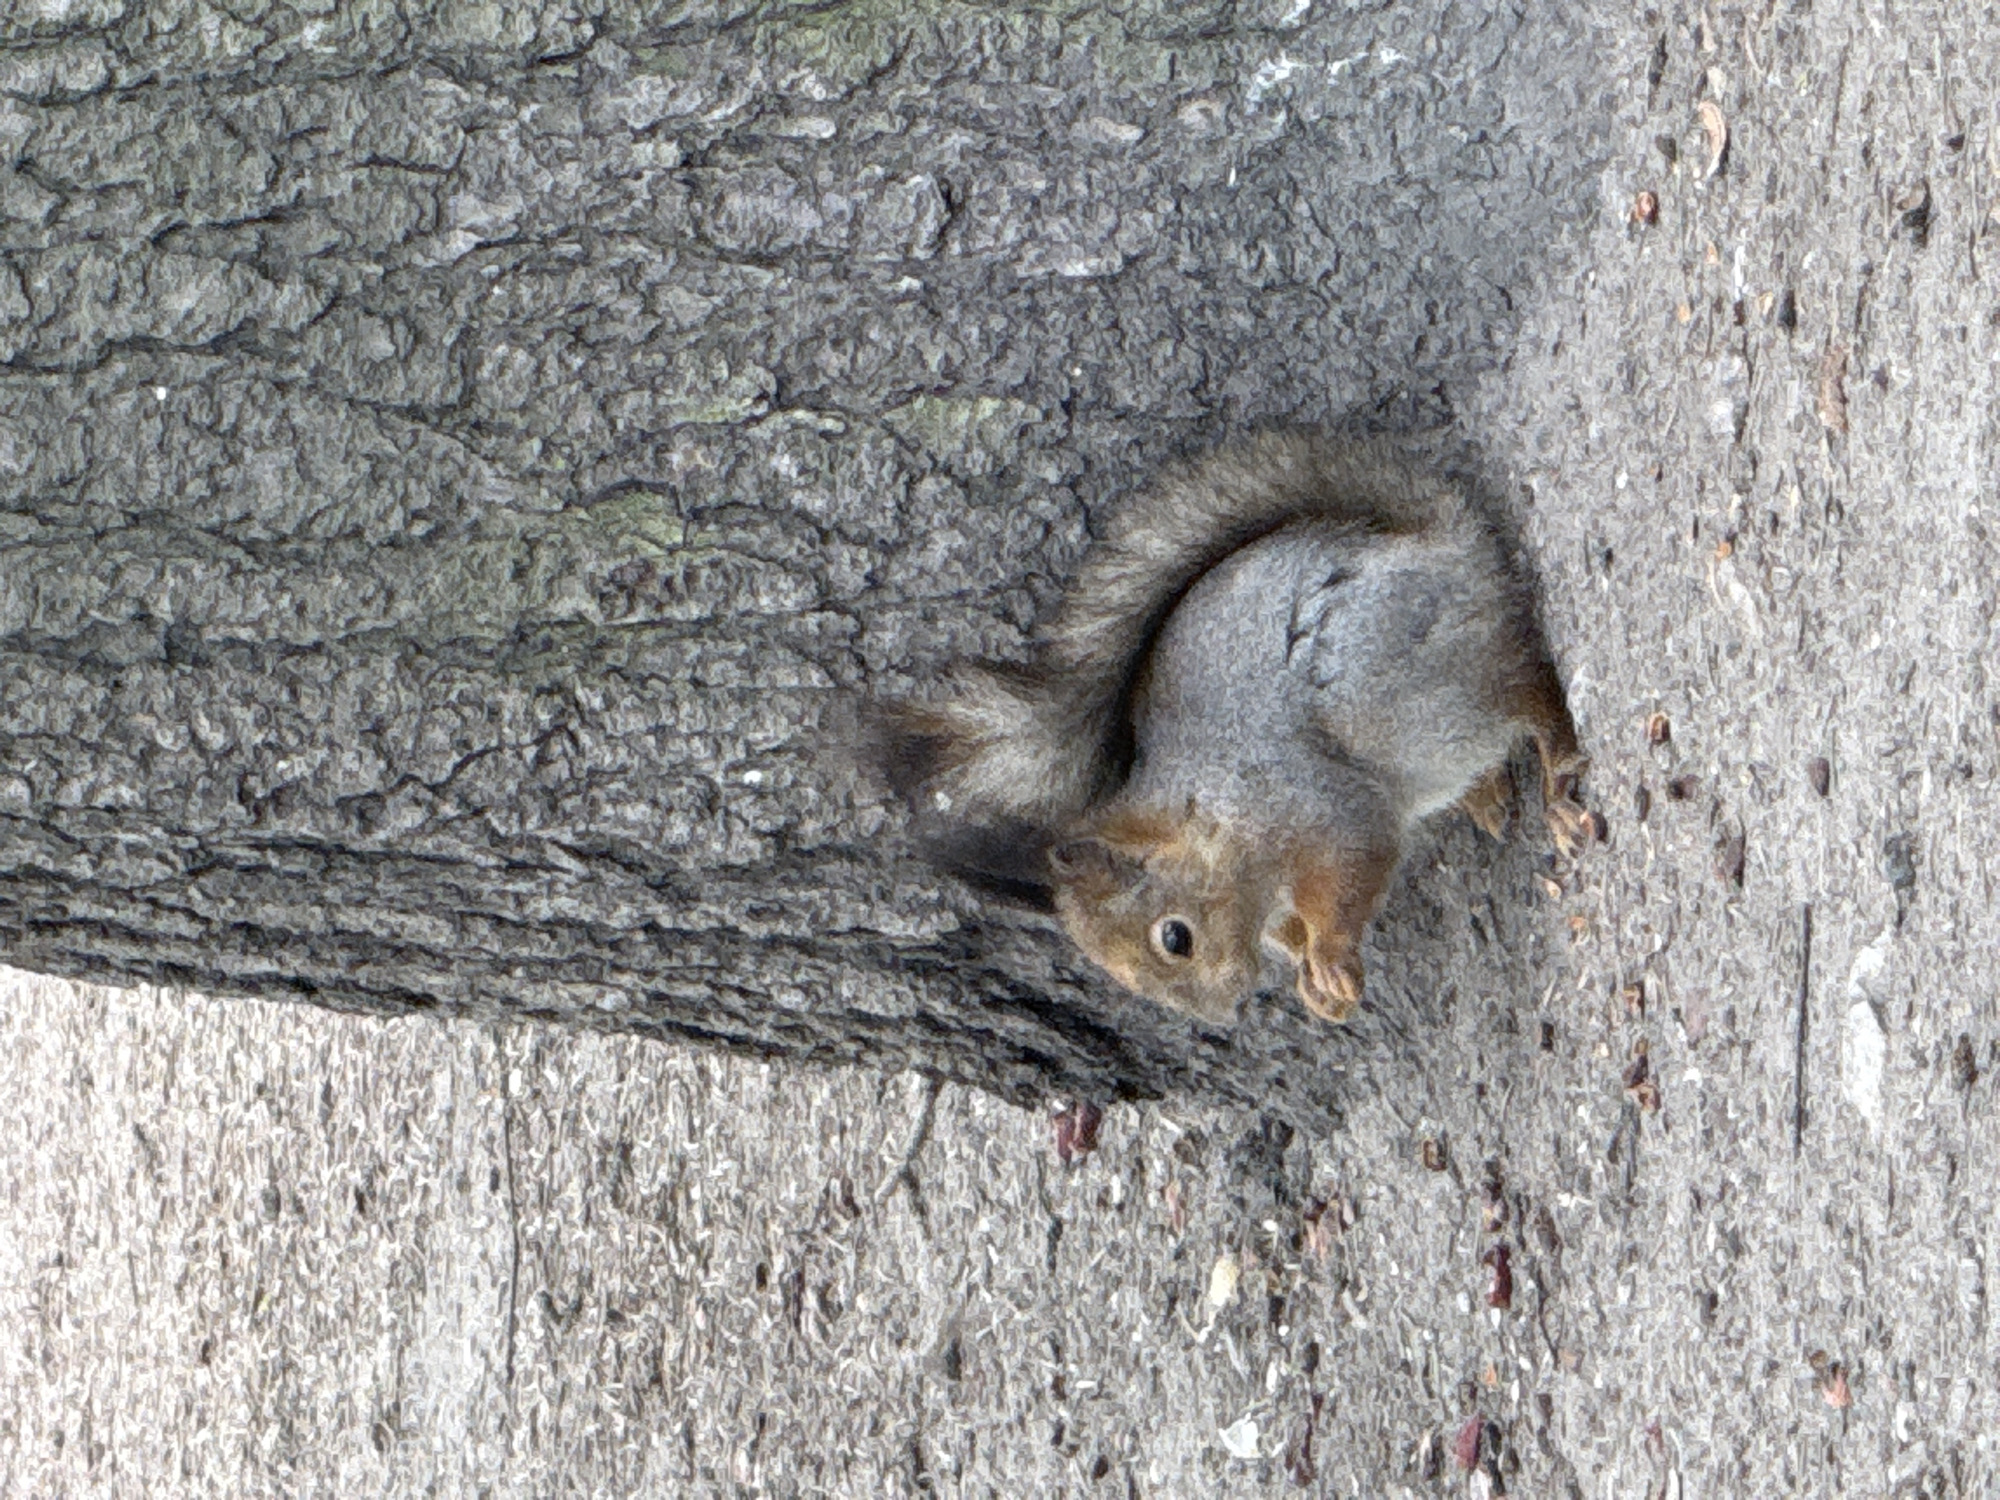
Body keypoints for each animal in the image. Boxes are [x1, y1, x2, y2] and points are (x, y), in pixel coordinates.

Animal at [886, 430, 1590, 1026]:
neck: (1213, 812)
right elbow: (1300, 924)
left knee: (1529, 689)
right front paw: (1314, 978)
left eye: (1175, 938)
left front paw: (1331, 959)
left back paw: (1559, 775)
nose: (1229, 1012)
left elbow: (1355, 860)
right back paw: (1487, 794)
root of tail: (1438, 546)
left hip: (1408, 692)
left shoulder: (1315, 804)